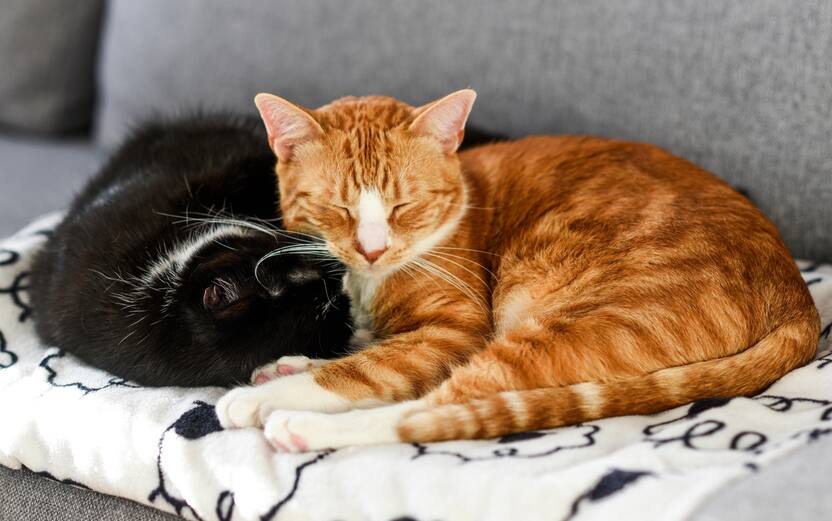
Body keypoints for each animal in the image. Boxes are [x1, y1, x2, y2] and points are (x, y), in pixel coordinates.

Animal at [214, 87, 820, 448]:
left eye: (403, 205)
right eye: (337, 209)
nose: (372, 249)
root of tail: (798, 297)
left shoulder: (455, 330)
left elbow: (373, 369)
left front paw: (272, 391)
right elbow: (372, 349)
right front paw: (293, 363)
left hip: (575, 323)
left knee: (438, 407)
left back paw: (296, 425)